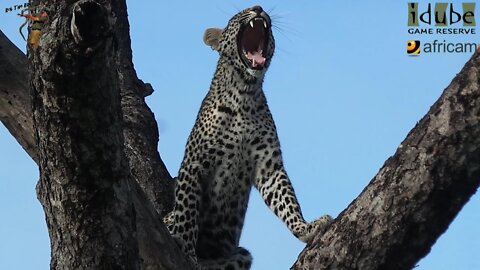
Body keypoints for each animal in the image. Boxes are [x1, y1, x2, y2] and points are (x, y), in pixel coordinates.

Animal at [163, 5, 332, 268]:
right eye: (237, 15)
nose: (258, 8)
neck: (244, 92)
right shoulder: (194, 163)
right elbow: (187, 212)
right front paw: (185, 250)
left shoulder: (268, 166)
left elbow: (287, 200)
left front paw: (305, 228)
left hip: (243, 254)